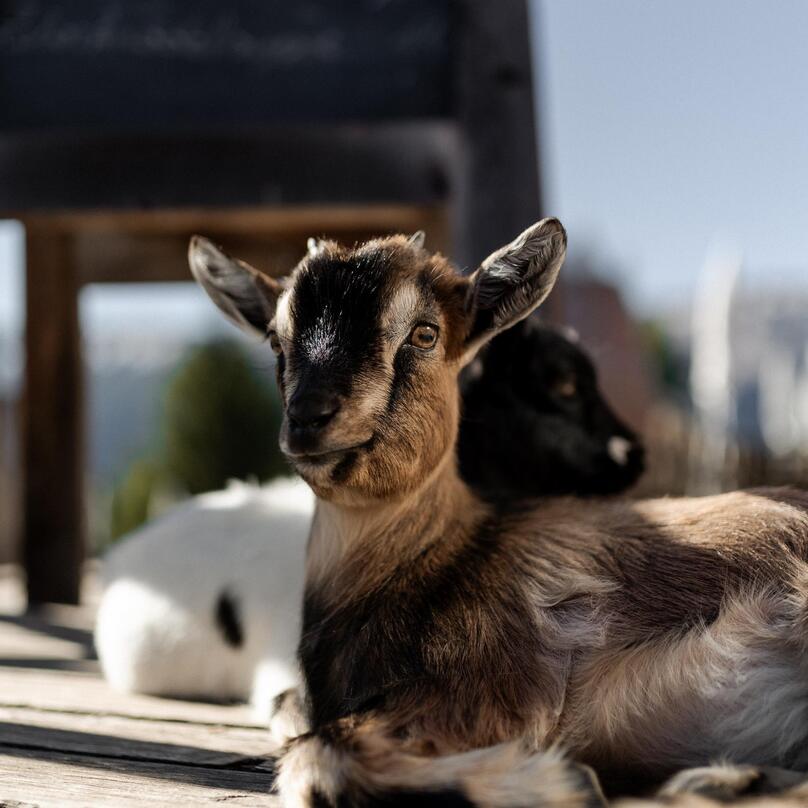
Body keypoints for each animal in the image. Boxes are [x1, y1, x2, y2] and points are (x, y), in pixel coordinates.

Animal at [189, 220, 808, 807]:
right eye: (276, 340)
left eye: (425, 332)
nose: (309, 417)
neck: (431, 560)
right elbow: (293, 719)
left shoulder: (492, 684)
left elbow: (317, 758)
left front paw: (568, 781)